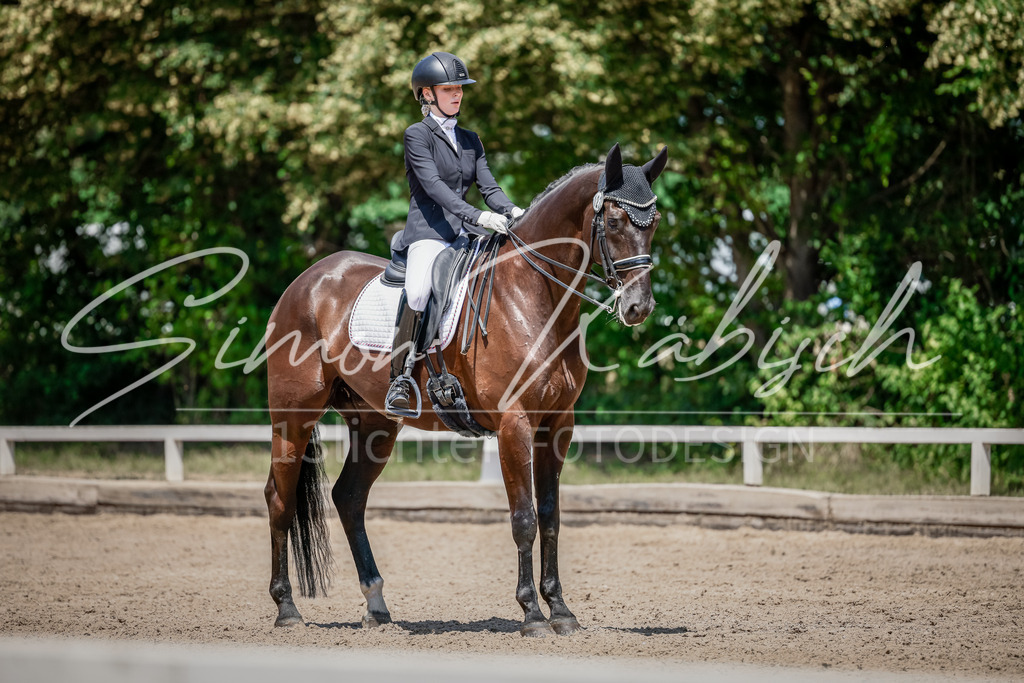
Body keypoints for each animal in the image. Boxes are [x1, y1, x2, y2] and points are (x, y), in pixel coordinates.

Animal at [263, 142, 668, 637]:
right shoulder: (515, 424)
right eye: (612, 222)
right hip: (293, 415)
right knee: (280, 499)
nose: (638, 307)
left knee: (349, 498)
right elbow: (524, 518)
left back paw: (377, 607)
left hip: (374, 423)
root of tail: (307, 280)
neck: (533, 294)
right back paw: (287, 608)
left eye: (655, 222)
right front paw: (532, 615)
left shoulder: (558, 425)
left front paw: (562, 611)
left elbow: (551, 517)